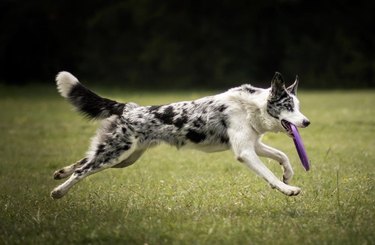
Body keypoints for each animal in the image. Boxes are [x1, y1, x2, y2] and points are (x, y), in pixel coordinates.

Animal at [52, 71, 312, 199]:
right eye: (288, 106)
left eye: (298, 107)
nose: (306, 122)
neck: (252, 107)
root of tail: (128, 107)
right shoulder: (245, 152)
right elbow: (269, 174)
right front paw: (288, 189)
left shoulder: (253, 144)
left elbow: (282, 156)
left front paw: (288, 175)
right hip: (117, 153)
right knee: (82, 170)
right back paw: (58, 192)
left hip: (124, 158)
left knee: (84, 161)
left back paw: (59, 173)